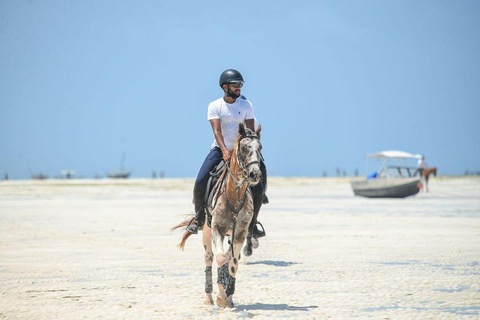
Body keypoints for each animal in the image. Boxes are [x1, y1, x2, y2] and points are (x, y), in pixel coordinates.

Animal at [172, 122, 262, 308]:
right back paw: (208, 297)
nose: (255, 174)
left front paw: (228, 296)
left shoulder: (240, 233)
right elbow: (220, 258)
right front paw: (220, 297)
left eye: (260, 147)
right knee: (209, 258)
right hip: (206, 229)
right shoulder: (217, 229)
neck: (234, 196)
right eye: (244, 147)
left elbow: (233, 263)